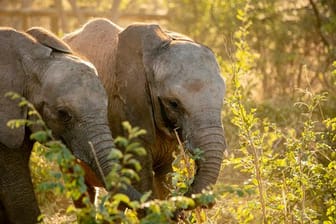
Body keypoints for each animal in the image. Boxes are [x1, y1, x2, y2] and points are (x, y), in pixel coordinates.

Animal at [63, 18, 226, 200]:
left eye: (222, 100)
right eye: (173, 103)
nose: (187, 189)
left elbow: (165, 177)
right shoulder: (125, 108)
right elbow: (141, 177)